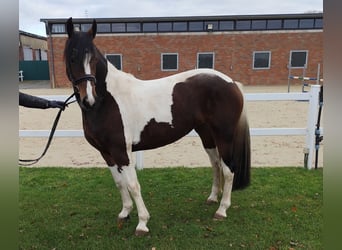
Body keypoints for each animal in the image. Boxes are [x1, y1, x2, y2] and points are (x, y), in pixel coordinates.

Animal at [64, 18, 251, 236]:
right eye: (72, 58)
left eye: (93, 59)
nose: (89, 99)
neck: (107, 101)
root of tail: (232, 83)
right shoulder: (106, 153)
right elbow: (119, 183)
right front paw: (125, 212)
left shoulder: (122, 152)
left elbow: (133, 185)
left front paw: (142, 223)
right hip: (207, 134)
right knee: (215, 164)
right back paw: (213, 198)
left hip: (224, 135)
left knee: (228, 169)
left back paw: (222, 210)